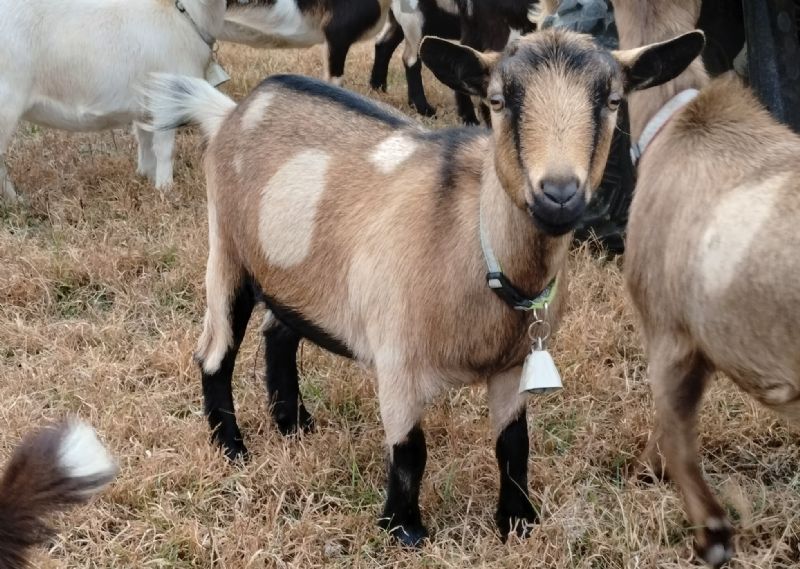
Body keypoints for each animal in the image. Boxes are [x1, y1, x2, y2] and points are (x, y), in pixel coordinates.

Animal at [0, 0, 228, 200]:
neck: (182, 13)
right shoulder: (166, 99)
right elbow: (165, 149)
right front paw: (166, 190)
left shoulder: (145, 105)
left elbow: (145, 141)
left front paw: (146, 178)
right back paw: (16, 201)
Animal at [144, 28, 700, 544]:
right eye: (497, 101)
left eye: (613, 101)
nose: (559, 194)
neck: (476, 245)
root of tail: (232, 112)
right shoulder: (397, 357)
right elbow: (411, 450)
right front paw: (404, 530)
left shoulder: (513, 364)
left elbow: (514, 445)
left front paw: (518, 523)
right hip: (227, 250)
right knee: (214, 352)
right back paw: (232, 448)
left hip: (297, 273)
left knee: (279, 332)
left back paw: (294, 424)